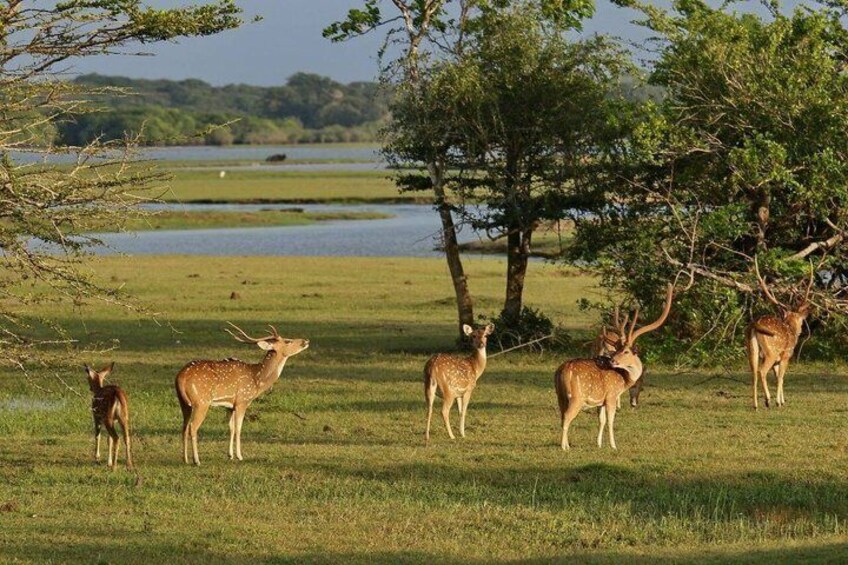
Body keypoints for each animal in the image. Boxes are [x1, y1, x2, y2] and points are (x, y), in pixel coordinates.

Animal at [175, 323, 309, 465]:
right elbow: (239, 427)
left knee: (184, 427)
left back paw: (185, 459)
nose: (306, 341)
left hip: (183, 403)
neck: (257, 381)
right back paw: (196, 460)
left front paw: (230, 455)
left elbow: (231, 428)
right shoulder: (242, 400)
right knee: (193, 427)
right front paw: (239, 456)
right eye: (288, 341)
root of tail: (181, 377)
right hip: (201, 402)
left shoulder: (230, 405)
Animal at [555, 284, 673, 450]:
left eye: (624, 351)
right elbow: (611, 421)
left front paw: (598, 444)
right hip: (576, 396)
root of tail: (563, 370)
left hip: (559, 395)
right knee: (566, 417)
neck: (624, 380)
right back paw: (565, 447)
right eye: (619, 350)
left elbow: (601, 420)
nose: (612, 360)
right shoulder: (611, 395)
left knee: (561, 416)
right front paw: (613, 445)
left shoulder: (602, 401)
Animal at [747, 259, 814, 409]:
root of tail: (755, 324)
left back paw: (755, 405)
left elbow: (778, 377)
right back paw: (767, 400)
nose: (801, 330)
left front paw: (783, 400)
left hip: (751, 349)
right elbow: (781, 377)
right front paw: (779, 402)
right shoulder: (785, 356)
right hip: (771, 351)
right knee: (761, 371)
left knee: (753, 372)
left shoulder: (777, 361)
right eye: (802, 321)